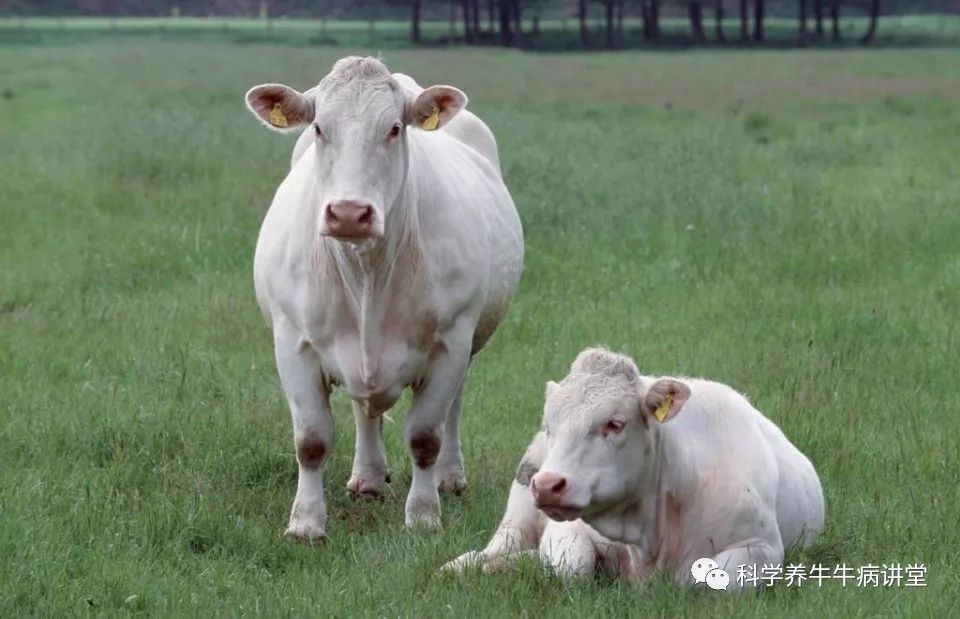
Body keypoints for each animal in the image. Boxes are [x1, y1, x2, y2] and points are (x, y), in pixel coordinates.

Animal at [244, 58, 520, 544]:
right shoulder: (293, 340)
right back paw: (368, 477)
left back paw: (450, 476)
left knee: (453, 407)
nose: (349, 214)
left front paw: (424, 514)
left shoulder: (451, 341)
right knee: (363, 410)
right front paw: (306, 522)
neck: (367, 270)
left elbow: (425, 436)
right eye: (319, 126)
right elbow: (311, 440)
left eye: (394, 128)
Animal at [444, 346, 824, 588]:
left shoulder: (761, 547)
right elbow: (573, 567)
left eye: (614, 424)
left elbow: (698, 580)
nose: (548, 484)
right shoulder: (566, 530)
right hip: (518, 513)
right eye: (550, 427)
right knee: (495, 548)